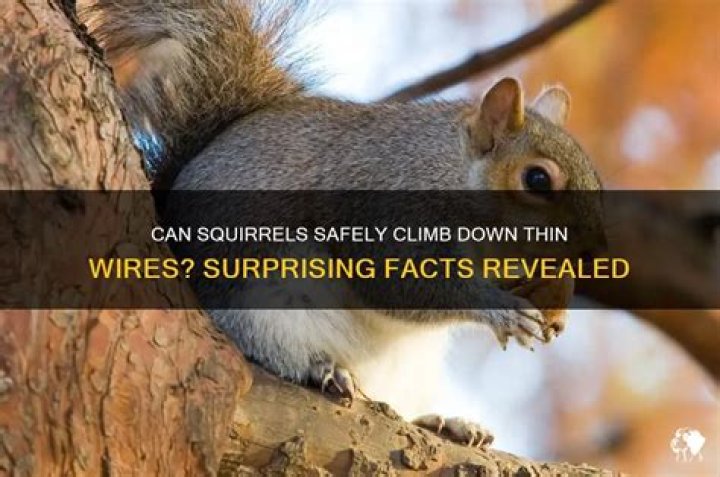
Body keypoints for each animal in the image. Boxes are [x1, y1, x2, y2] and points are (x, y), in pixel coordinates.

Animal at [82, 0, 604, 447]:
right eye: (537, 179)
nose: (593, 249)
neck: (447, 173)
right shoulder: (379, 212)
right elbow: (403, 286)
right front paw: (501, 309)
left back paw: (446, 422)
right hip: (262, 306)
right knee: (270, 349)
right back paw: (322, 369)